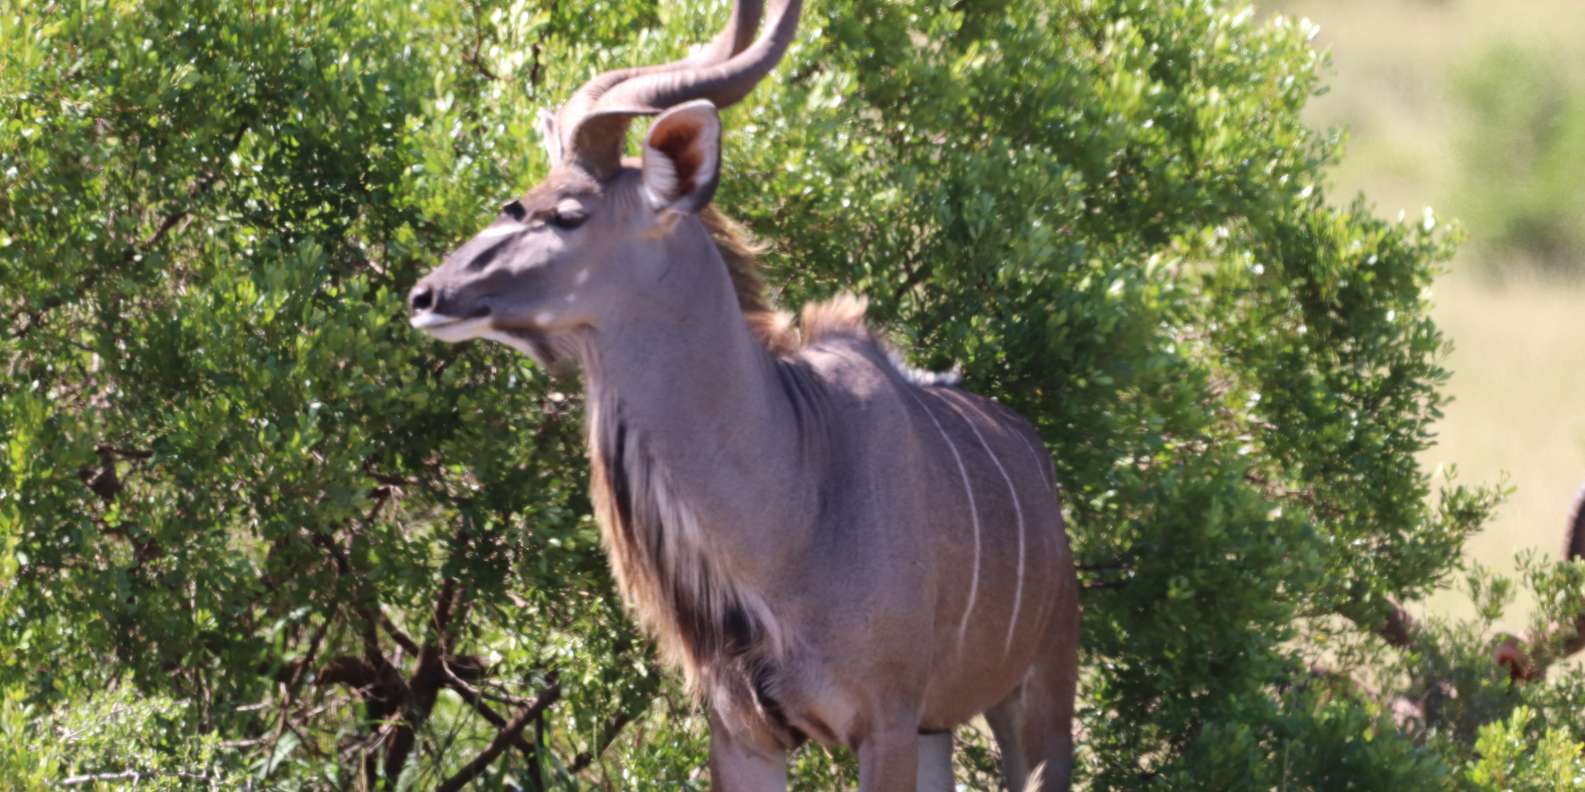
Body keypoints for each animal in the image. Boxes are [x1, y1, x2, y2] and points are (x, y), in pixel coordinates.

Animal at [408, 3, 1077, 788]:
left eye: (568, 214)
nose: (427, 294)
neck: (796, 493)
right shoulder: (743, 731)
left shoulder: (884, 721)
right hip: (939, 726)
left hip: (1036, 695)